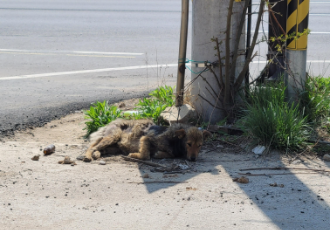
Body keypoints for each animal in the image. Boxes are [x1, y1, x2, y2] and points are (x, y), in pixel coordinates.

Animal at [83, 118, 211, 162]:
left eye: (200, 145)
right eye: (189, 144)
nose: (193, 159)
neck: (174, 141)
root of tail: (112, 122)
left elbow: (169, 154)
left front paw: (160, 154)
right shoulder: (146, 138)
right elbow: (146, 155)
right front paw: (134, 155)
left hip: (113, 147)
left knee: (98, 148)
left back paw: (97, 154)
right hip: (112, 137)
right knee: (91, 147)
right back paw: (88, 156)